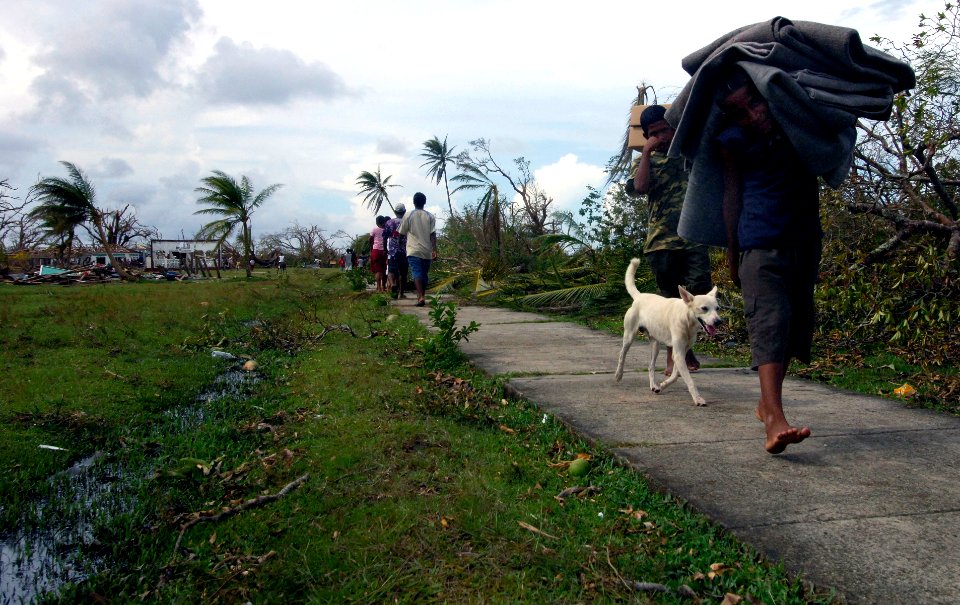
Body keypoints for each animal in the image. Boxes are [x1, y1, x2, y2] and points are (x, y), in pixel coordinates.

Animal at [616, 256, 720, 406]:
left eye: (717, 308)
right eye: (704, 308)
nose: (718, 321)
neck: (686, 319)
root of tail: (640, 296)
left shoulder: (682, 352)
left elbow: (676, 375)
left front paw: (662, 385)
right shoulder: (678, 353)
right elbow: (689, 381)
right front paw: (697, 398)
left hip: (655, 345)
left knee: (651, 366)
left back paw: (653, 385)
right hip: (629, 336)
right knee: (622, 355)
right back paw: (618, 375)